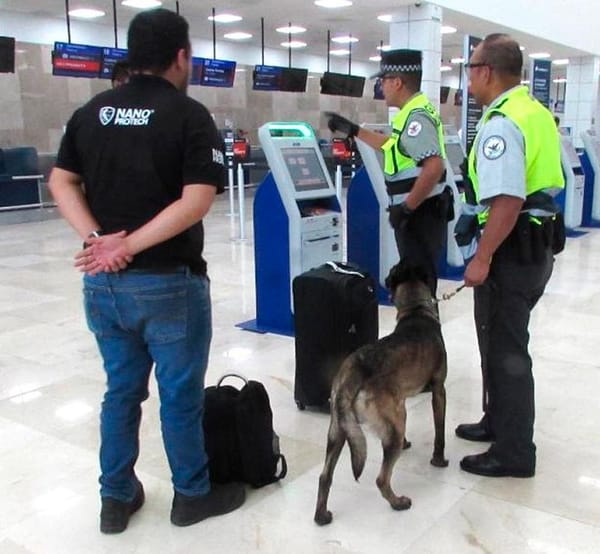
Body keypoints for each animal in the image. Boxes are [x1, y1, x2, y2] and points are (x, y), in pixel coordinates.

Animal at [314, 260, 450, 524]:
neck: (416, 310)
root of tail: (353, 370)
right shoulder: (439, 390)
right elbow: (440, 432)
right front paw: (439, 460)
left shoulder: (402, 401)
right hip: (392, 425)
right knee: (381, 478)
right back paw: (398, 503)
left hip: (339, 428)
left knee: (325, 476)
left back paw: (321, 515)